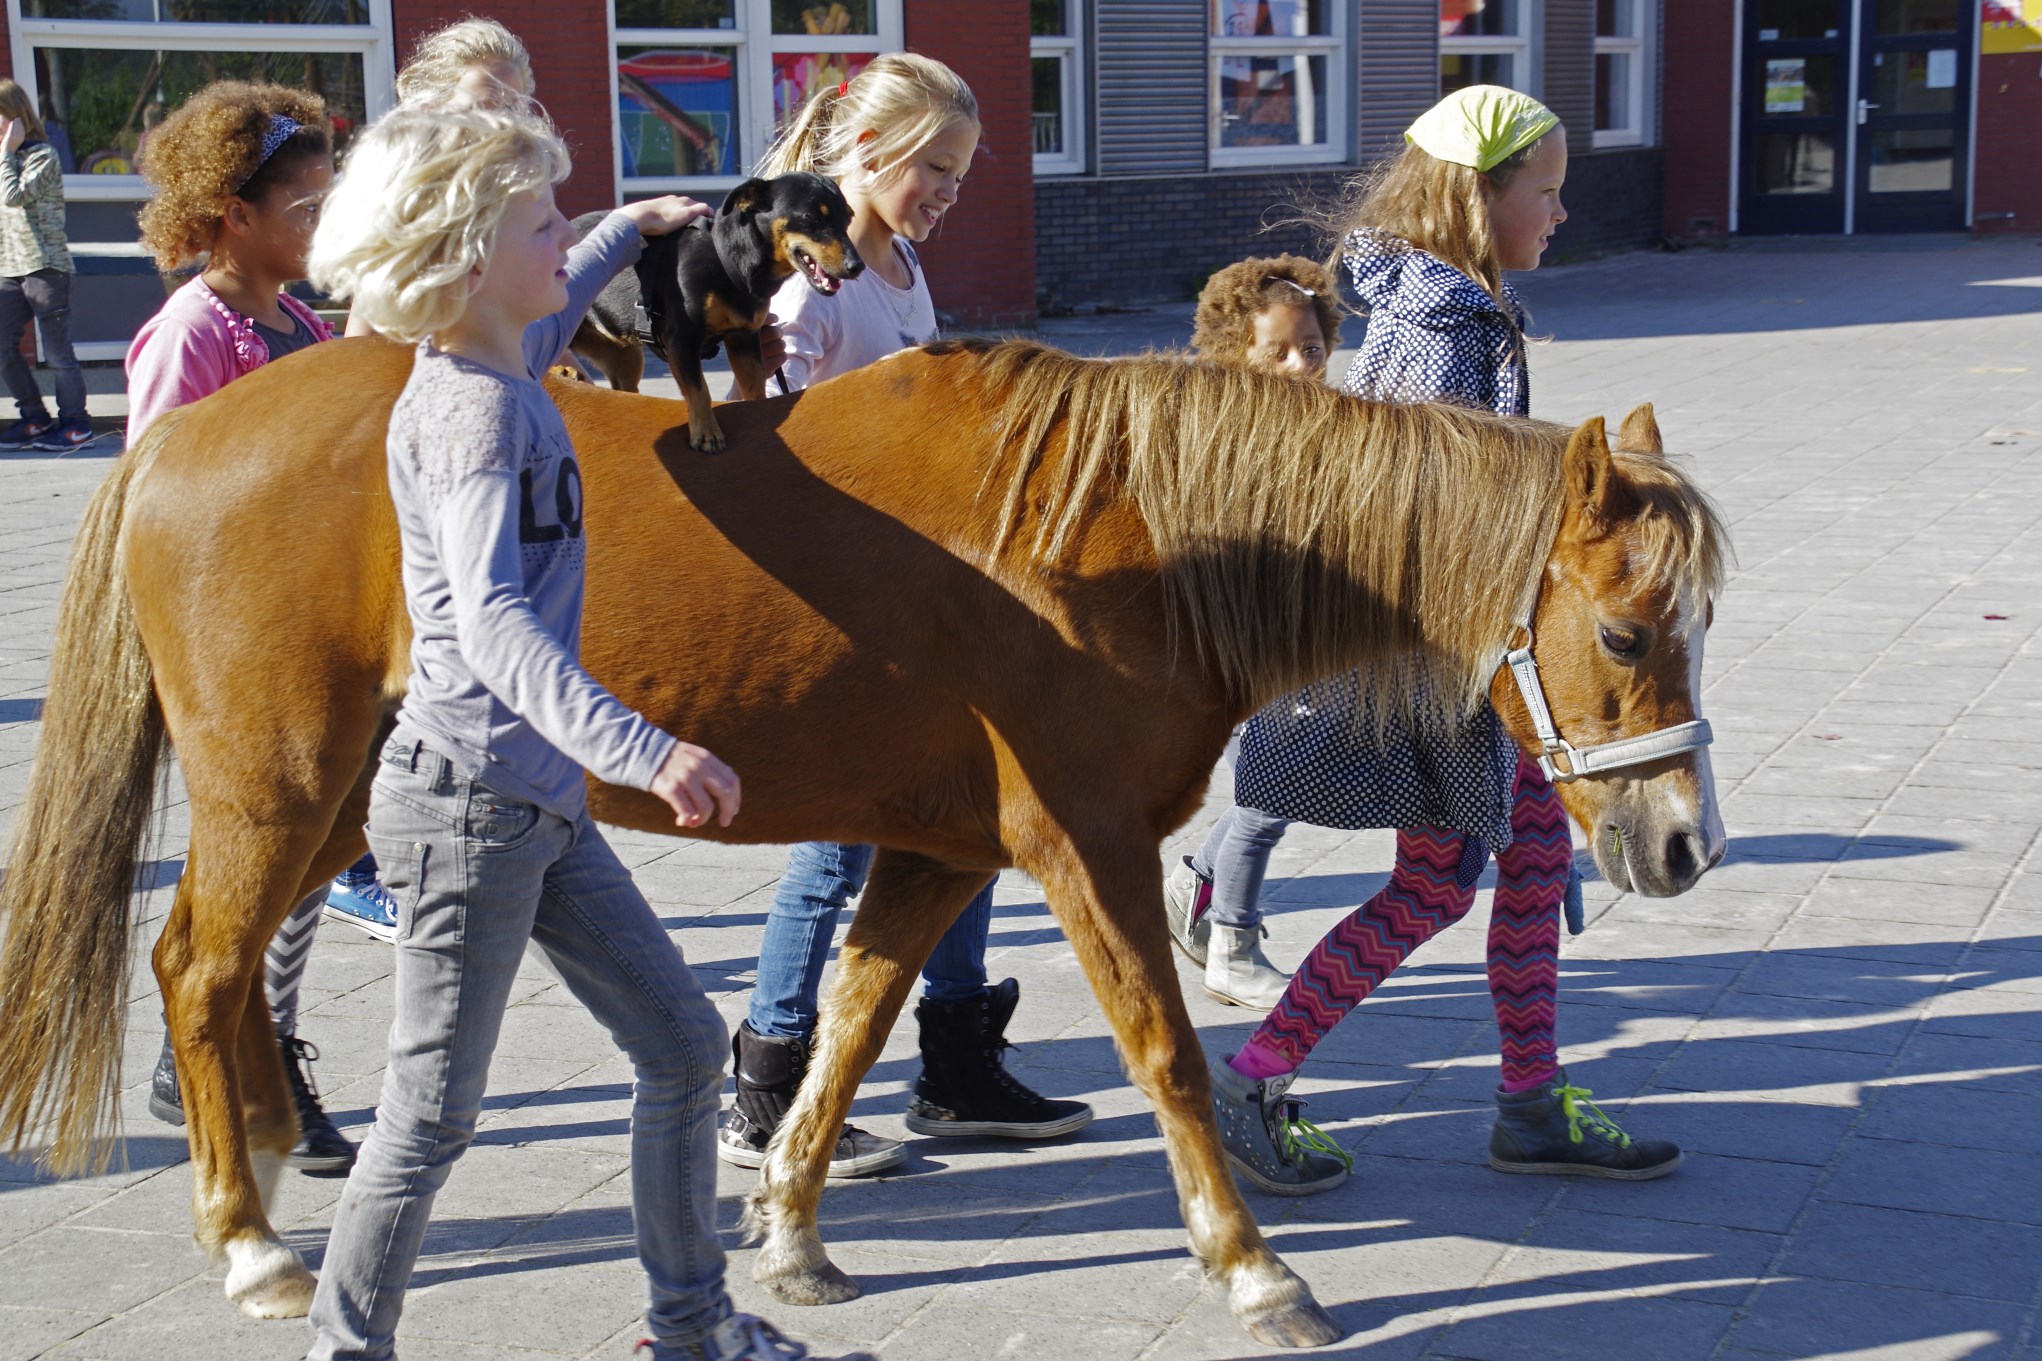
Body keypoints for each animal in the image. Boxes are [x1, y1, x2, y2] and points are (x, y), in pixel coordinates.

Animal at [0, 334, 1723, 1346]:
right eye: (1625, 632)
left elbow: (846, 1026)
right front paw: (1250, 1265)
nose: (1680, 845)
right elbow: (1163, 1050)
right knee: (201, 967)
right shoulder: (1083, 846)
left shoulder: (941, 852)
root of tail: (171, 440)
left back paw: (262, 1177)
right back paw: (246, 1240)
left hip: (336, 793)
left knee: (210, 967)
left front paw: (790, 1237)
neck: (1129, 533)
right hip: (278, 785)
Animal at [571, 173, 865, 452]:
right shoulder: (681, 340)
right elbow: (699, 389)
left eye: (849, 219)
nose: (857, 266)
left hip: (624, 358)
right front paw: (706, 433)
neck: (729, 263)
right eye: (810, 216)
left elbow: (755, 386)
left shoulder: (744, 340)